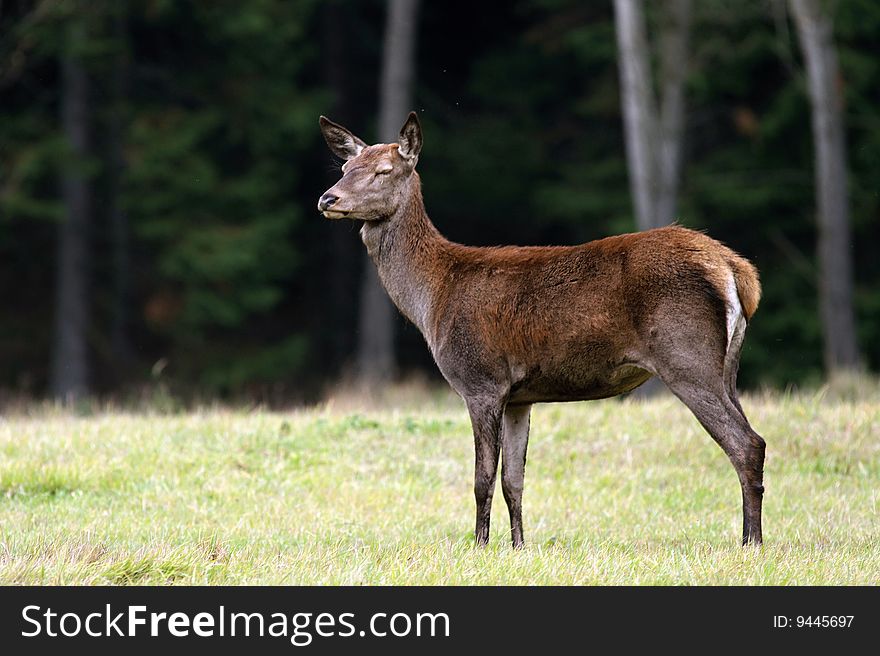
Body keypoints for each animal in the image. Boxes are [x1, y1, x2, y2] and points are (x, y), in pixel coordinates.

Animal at [320, 111, 768, 548]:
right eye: (344, 167)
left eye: (383, 170)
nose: (328, 198)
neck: (434, 298)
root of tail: (737, 271)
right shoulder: (520, 396)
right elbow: (513, 480)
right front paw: (519, 546)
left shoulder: (481, 380)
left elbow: (482, 479)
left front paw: (479, 546)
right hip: (727, 366)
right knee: (752, 437)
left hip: (686, 357)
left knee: (747, 443)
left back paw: (751, 542)